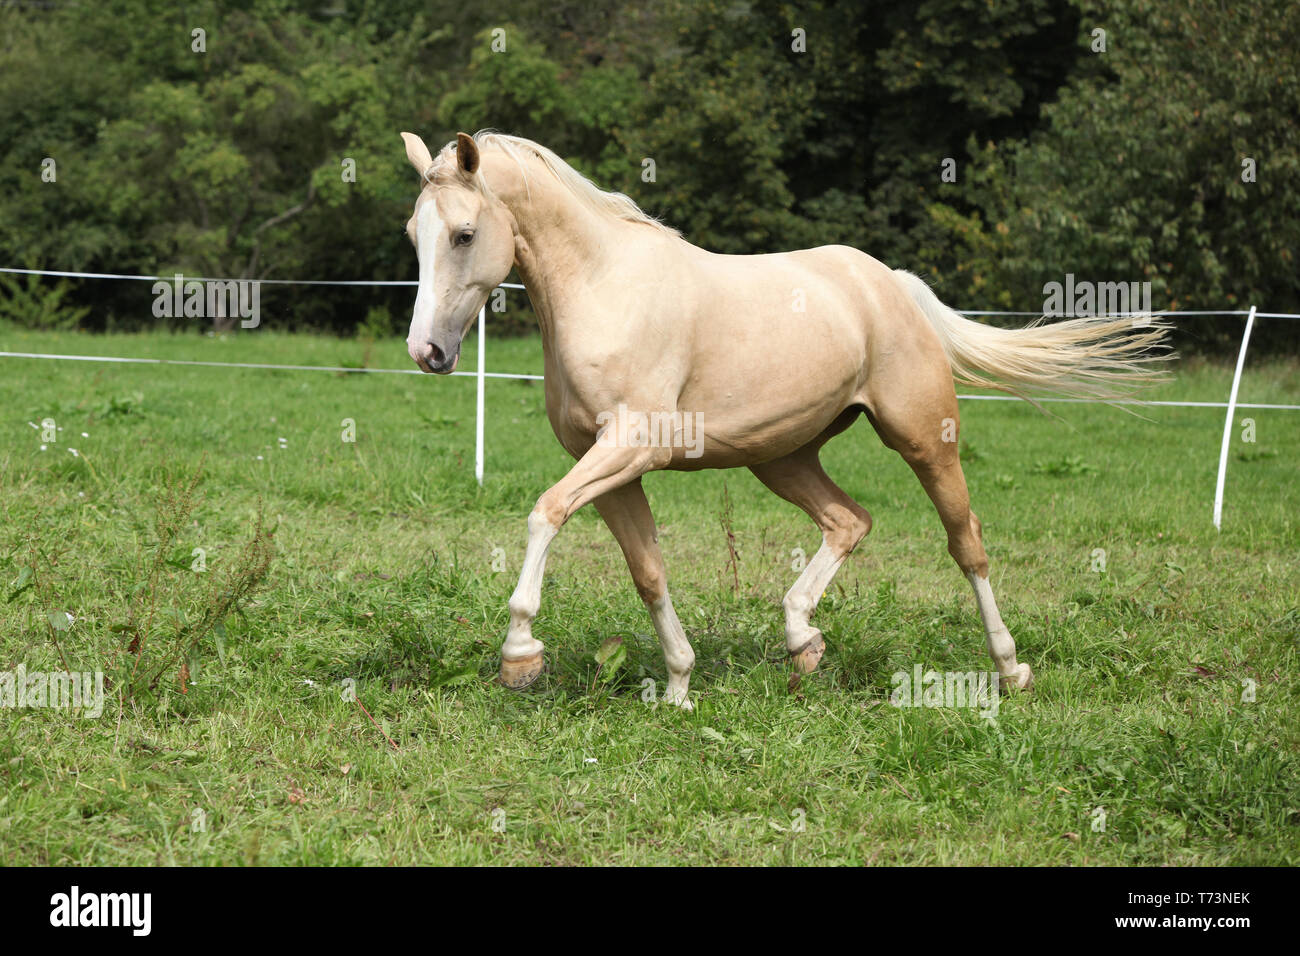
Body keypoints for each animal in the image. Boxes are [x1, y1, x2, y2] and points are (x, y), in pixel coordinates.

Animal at [398, 130, 1167, 710]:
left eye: (464, 234)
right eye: (414, 235)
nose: (427, 352)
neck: (604, 287)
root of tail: (891, 285)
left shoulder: (630, 449)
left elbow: (545, 512)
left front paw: (520, 654)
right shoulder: (612, 469)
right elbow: (648, 572)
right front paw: (679, 687)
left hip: (924, 441)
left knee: (966, 545)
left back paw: (1010, 670)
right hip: (782, 456)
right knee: (849, 521)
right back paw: (805, 641)